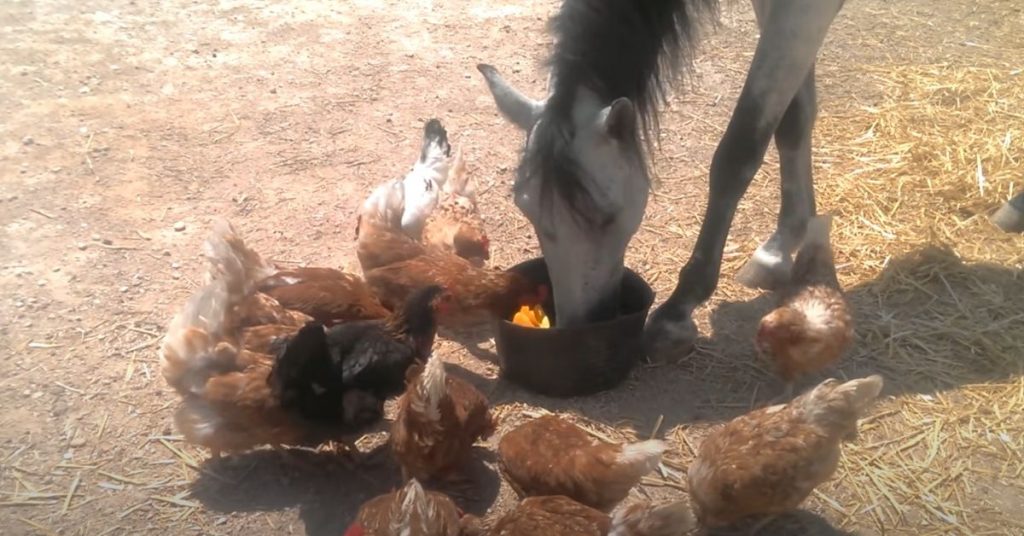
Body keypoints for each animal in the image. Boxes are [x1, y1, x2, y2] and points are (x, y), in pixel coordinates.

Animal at [477, 0, 847, 361]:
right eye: (527, 211)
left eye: (606, 216)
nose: (579, 326)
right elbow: (792, 120)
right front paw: (781, 245)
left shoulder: (803, 10)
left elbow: (739, 149)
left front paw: (677, 311)